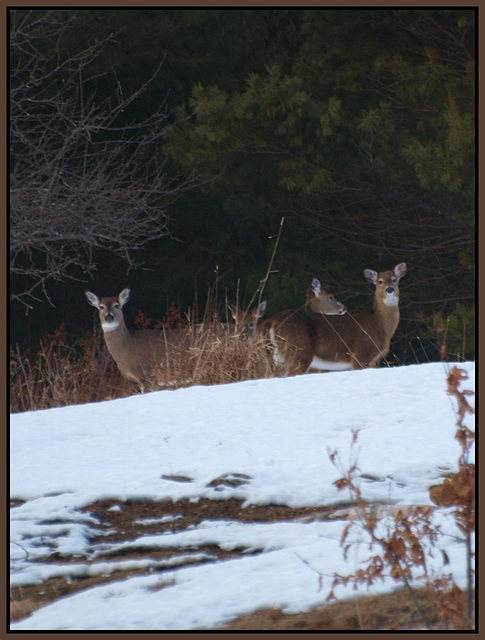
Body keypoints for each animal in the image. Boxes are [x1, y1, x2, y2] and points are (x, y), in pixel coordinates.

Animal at [262, 264, 406, 376]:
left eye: (394, 279)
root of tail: (272, 321)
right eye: (380, 281)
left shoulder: (374, 360)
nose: (389, 289)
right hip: (298, 352)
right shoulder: (360, 354)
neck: (378, 323)